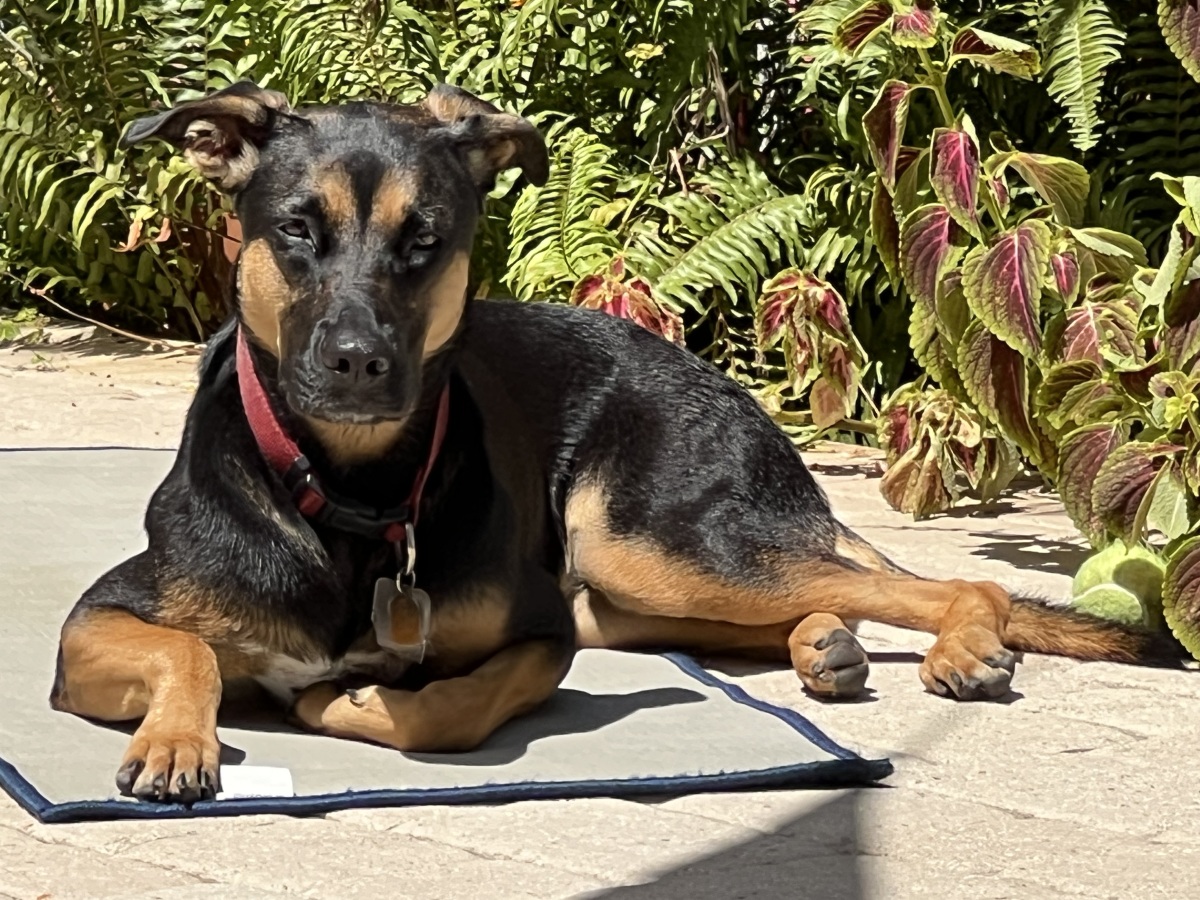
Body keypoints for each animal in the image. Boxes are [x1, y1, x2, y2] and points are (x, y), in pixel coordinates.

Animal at [49, 84, 1190, 801]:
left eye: (427, 240)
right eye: (294, 227)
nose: (357, 363)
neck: (351, 491)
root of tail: (734, 398)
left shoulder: (541, 634)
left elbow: (443, 710)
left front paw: (354, 695)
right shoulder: (93, 626)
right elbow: (190, 645)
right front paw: (178, 739)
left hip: (644, 542)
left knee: (946, 584)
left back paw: (957, 641)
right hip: (629, 585)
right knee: (799, 605)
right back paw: (823, 644)